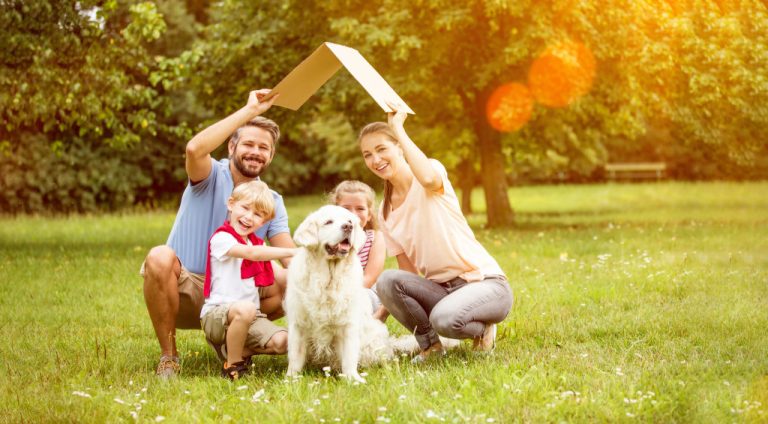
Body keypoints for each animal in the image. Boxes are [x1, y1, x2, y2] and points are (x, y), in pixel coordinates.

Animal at [284, 204, 392, 382]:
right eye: (328, 222)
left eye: (349, 221)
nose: (348, 227)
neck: (329, 279)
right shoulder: (298, 323)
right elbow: (295, 355)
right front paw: (291, 379)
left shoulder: (348, 324)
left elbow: (349, 356)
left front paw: (353, 379)